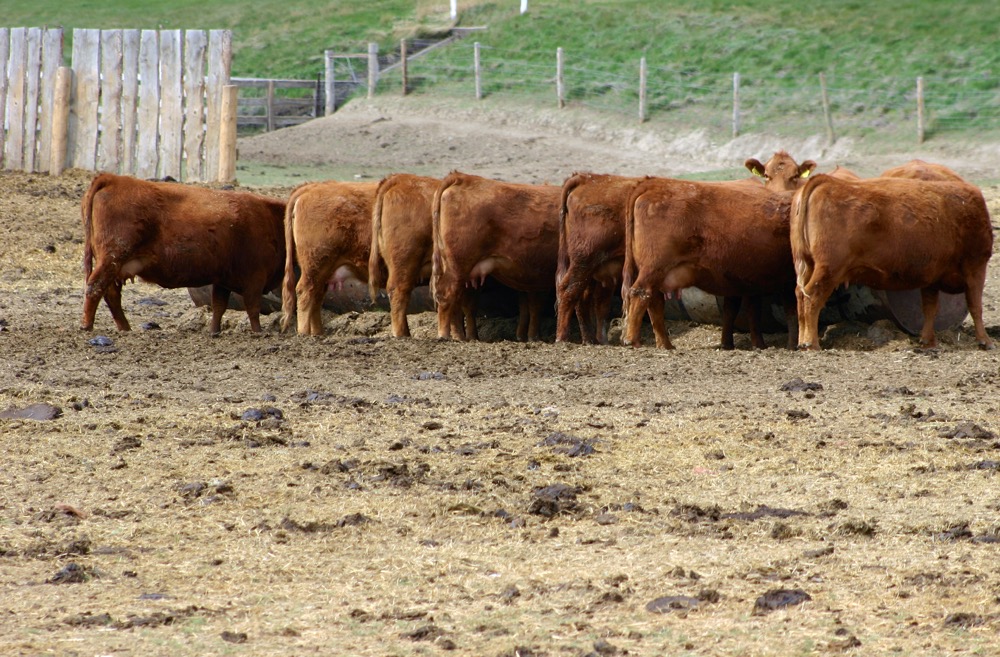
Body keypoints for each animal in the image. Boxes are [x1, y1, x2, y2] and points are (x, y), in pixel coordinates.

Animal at [80, 173, 285, 334]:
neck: (270, 219)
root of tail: (113, 179)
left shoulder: (222, 280)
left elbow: (219, 307)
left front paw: (214, 331)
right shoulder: (255, 278)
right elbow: (253, 307)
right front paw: (258, 332)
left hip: (115, 266)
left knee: (110, 294)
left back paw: (125, 328)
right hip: (112, 259)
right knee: (95, 287)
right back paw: (87, 326)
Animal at [281, 180, 378, 336]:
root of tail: (312, 186)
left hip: (324, 271)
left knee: (315, 297)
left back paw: (317, 334)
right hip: (315, 265)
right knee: (304, 293)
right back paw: (303, 334)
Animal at [621, 177, 797, 350]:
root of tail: (654, 182)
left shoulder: (747, 281)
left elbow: (744, 311)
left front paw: (743, 344)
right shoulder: (786, 280)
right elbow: (790, 311)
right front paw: (791, 344)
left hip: (658, 274)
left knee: (654, 302)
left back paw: (665, 345)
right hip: (654, 268)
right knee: (639, 293)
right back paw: (632, 340)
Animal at [791, 174, 993, 350]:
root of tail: (826, 180)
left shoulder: (932, 277)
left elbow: (930, 309)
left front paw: (928, 341)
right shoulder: (976, 267)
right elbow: (975, 305)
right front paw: (985, 340)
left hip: (807, 265)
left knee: (800, 296)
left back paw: (802, 342)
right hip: (829, 269)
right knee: (813, 297)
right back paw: (811, 343)